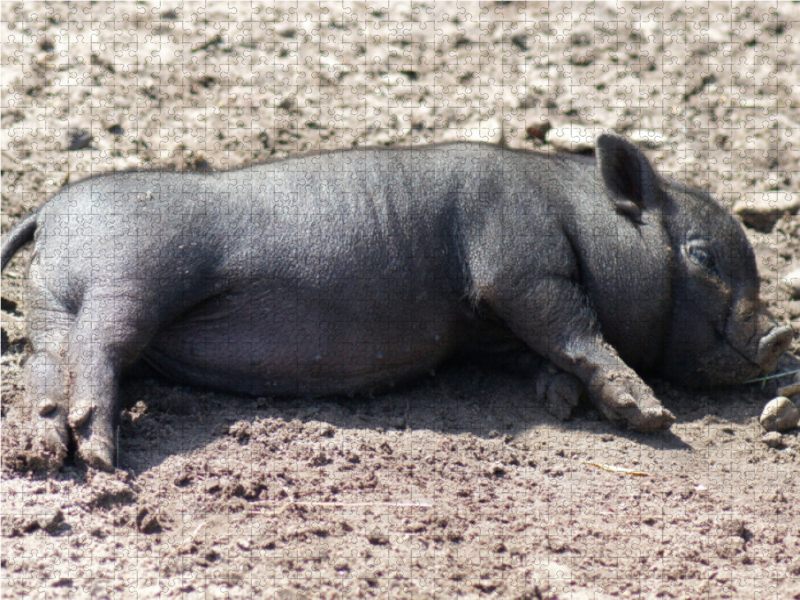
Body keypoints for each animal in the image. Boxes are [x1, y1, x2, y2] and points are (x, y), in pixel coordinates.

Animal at [0, 134, 792, 472]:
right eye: (700, 257)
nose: (776, 335)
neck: (580, 218)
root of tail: (51, 209)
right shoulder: (520, 266)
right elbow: (576, 330)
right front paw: (651, 417)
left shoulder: (487, 328)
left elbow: (543, 352)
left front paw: (561, 401)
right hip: (127, 279)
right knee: (98, 351)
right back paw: (100, 456)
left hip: (48, 302)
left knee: (43, 365)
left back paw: (44, 453)